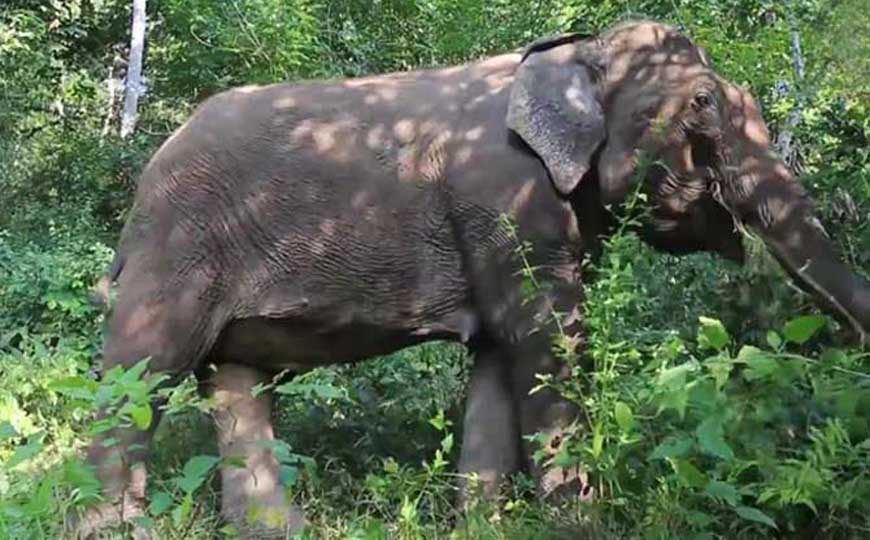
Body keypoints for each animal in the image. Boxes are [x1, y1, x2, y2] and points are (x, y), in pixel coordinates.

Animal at [76, 20, 870, 538]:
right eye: (701, 107)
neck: (570, 55)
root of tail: (147, 175)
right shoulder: (503, 200)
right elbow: (546, 345)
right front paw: (580, 525)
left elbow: (496, 355)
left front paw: (486, 524)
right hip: (175, 252)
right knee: (142, 371)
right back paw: (113, 529)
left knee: (236, 381)